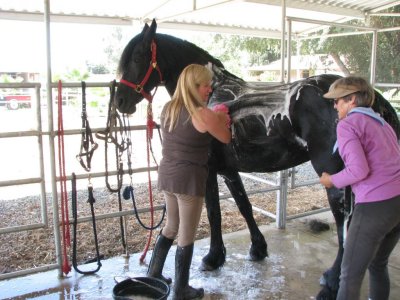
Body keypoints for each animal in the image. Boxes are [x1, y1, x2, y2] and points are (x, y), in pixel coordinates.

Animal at [114, 19, 398, 298]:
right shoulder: (228, 169)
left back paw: (332, 280)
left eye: (138, 56)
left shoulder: (209, 170)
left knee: (344, 221)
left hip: (334, 177)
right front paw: (257, 249)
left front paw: (213, 257)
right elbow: (244, 205)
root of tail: (372, 98)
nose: (120, 101)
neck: (209, 93)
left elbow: (214, 212)